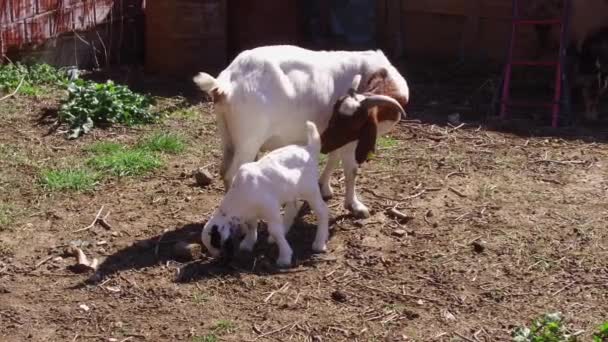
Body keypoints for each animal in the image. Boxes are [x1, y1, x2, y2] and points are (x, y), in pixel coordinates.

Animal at [194, 44, 408, 216]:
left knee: (224, 169)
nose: (324, 142)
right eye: (353, 124)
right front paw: (355, 206)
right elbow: (351, 169)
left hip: (227, 134)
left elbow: (333, 158)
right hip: (249, 138)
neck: (377, 75)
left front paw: (325, 187)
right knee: (232, 173)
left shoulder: (337, 137)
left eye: (342, 118)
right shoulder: (350, 140)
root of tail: (225, 84)